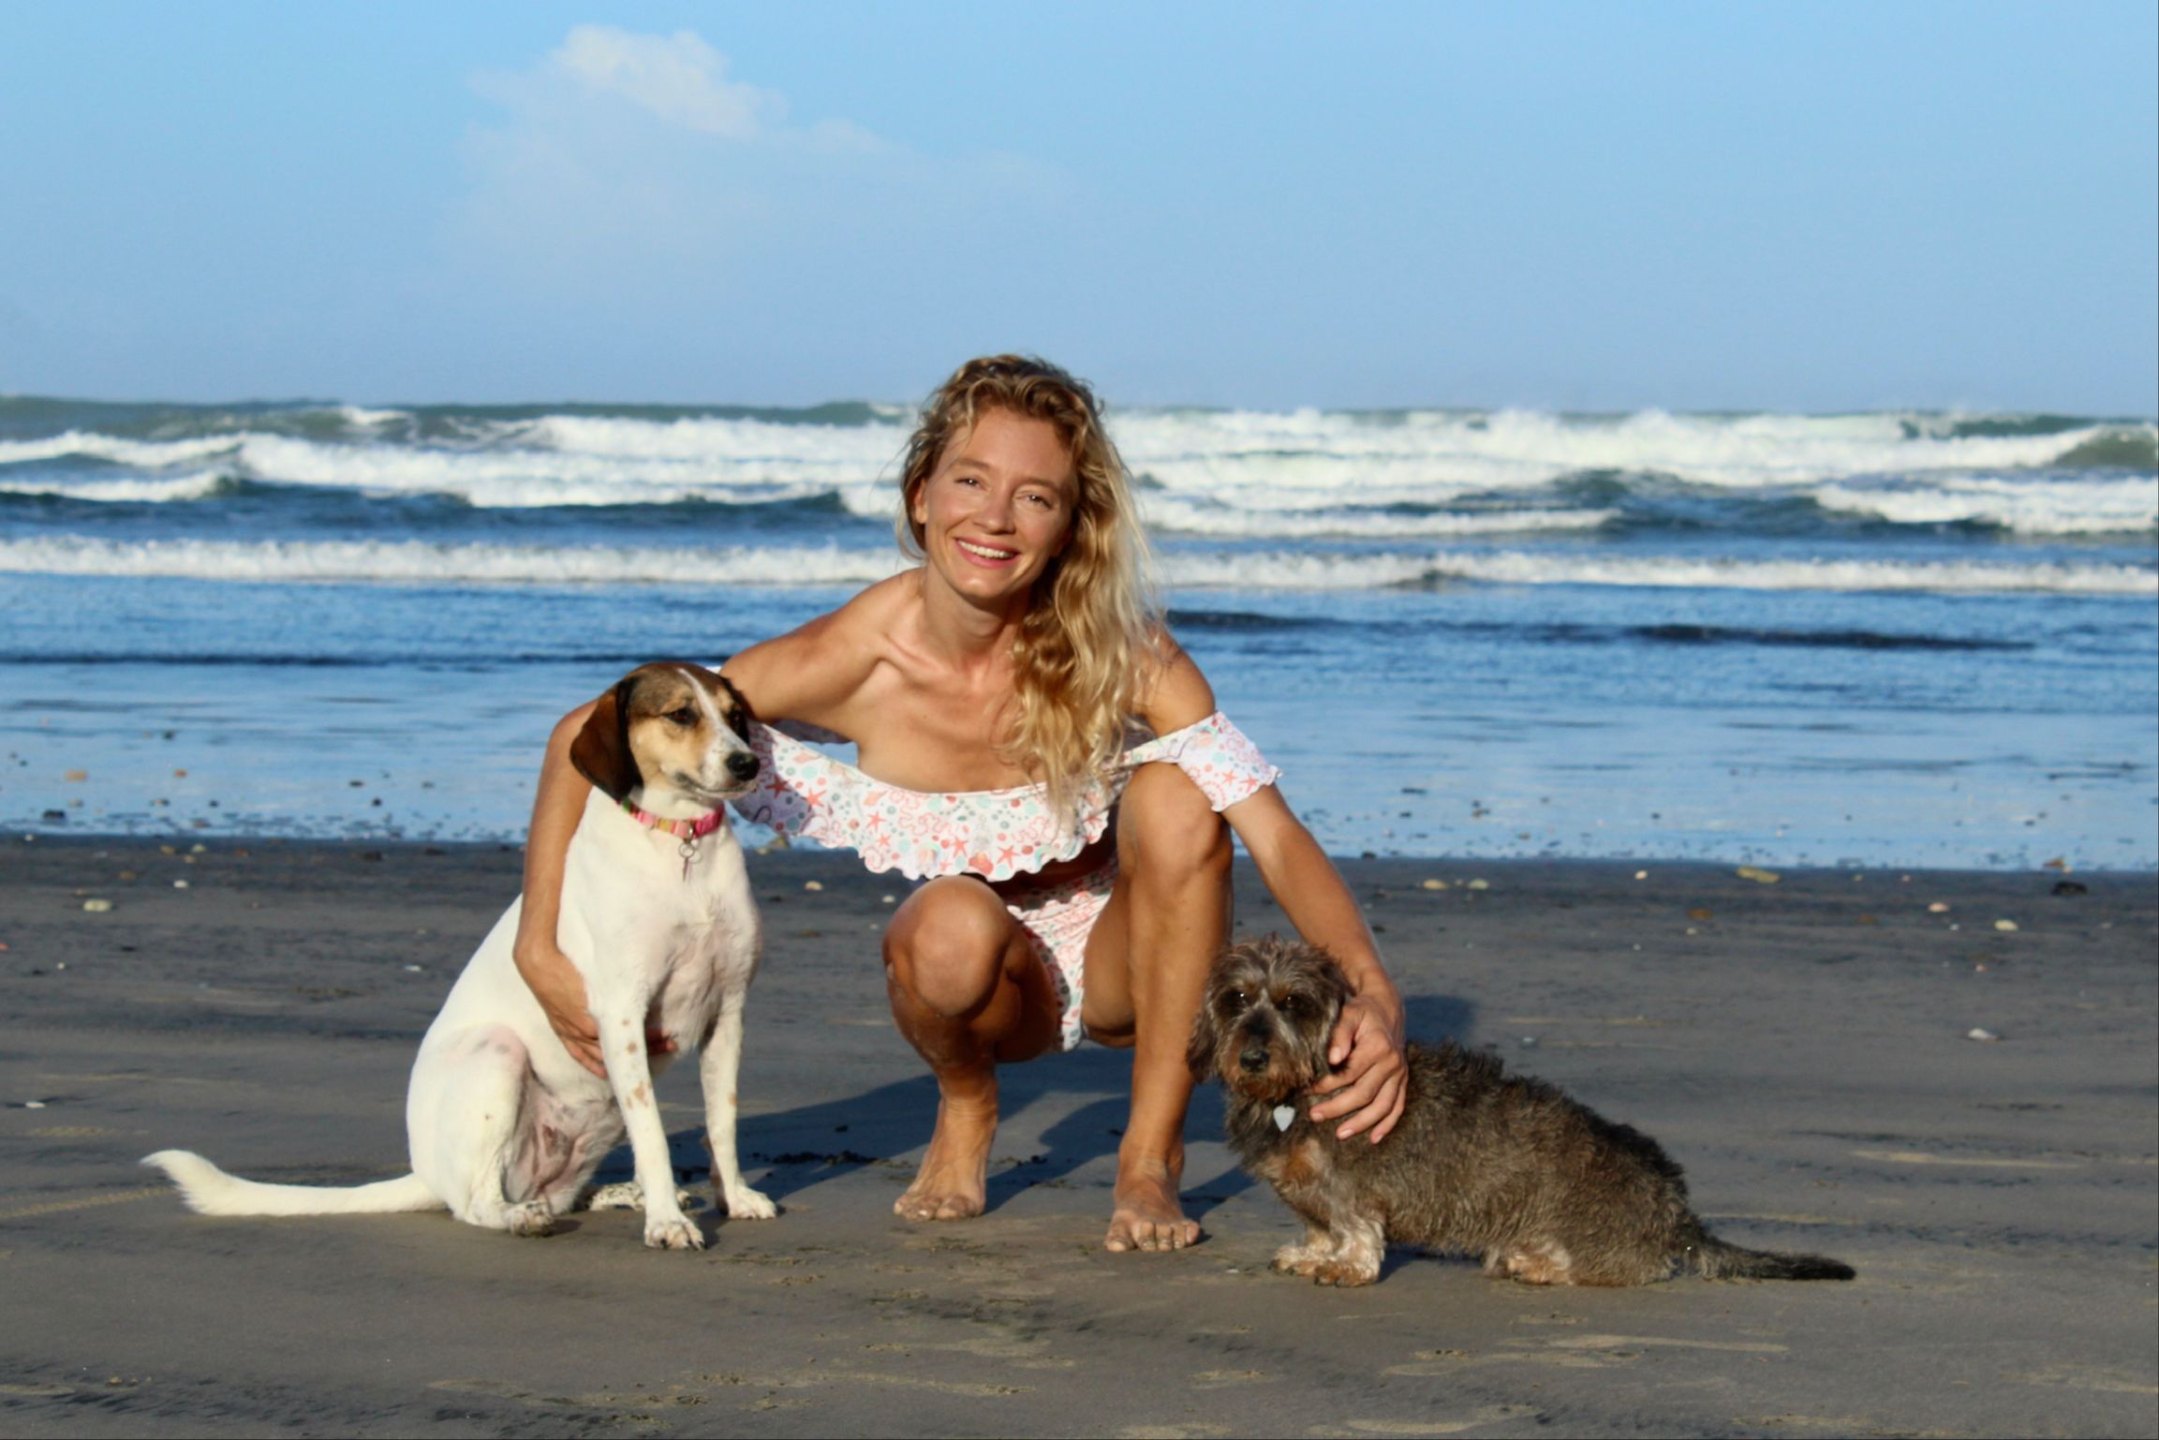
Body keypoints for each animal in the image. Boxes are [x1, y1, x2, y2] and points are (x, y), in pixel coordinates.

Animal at [146, 662, 773, 1250]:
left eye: (734, 715)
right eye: (680, 714)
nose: (747, 764)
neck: (681, 844)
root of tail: (426, 1173)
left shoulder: (728, 1013)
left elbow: (721, 1122)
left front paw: (732, 1197)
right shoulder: (621, 1017)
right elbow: (653, 1137)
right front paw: (666, 1223)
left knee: (556, 1193)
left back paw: (616, 1193)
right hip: (497, 1056)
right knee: (476, 1203)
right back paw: (525, 1217)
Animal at [1189, 935, 1856, 1287]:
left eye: (1294, 1003)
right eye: (1237, 997)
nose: (1251, 1056)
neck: (1292, 1095)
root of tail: (1676, 1210)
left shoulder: (1353, 1190)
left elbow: (1353, 1229)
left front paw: (1346, 1265)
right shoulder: (1312, 1196)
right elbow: (1319, 1228)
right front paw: (1312, 1254)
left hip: (1596, 1244)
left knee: (1626, 1269)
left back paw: (1539, 1263)